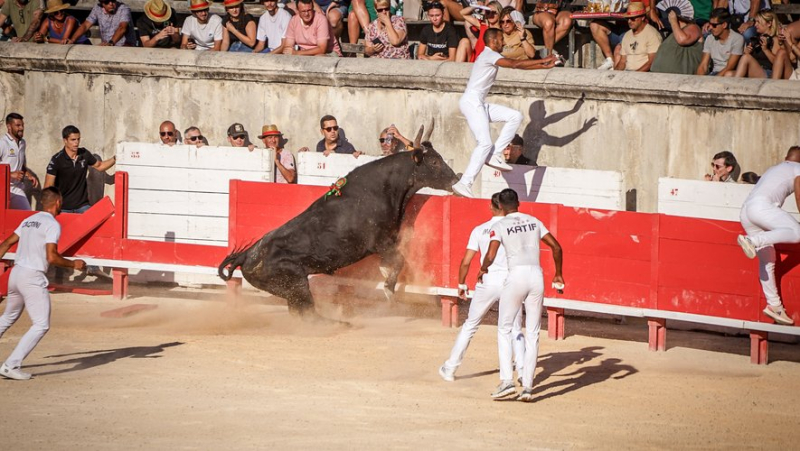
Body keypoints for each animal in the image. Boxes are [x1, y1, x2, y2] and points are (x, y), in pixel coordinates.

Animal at [219, 139, 456, 320]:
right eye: (434, 161)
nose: (456, 178)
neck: (384, 187)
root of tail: (246, 255)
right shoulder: (382, 243)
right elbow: (398, 263)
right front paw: (389, 292)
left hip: (291, 288)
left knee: (300, 312)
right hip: (295, 282)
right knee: (307, 311)